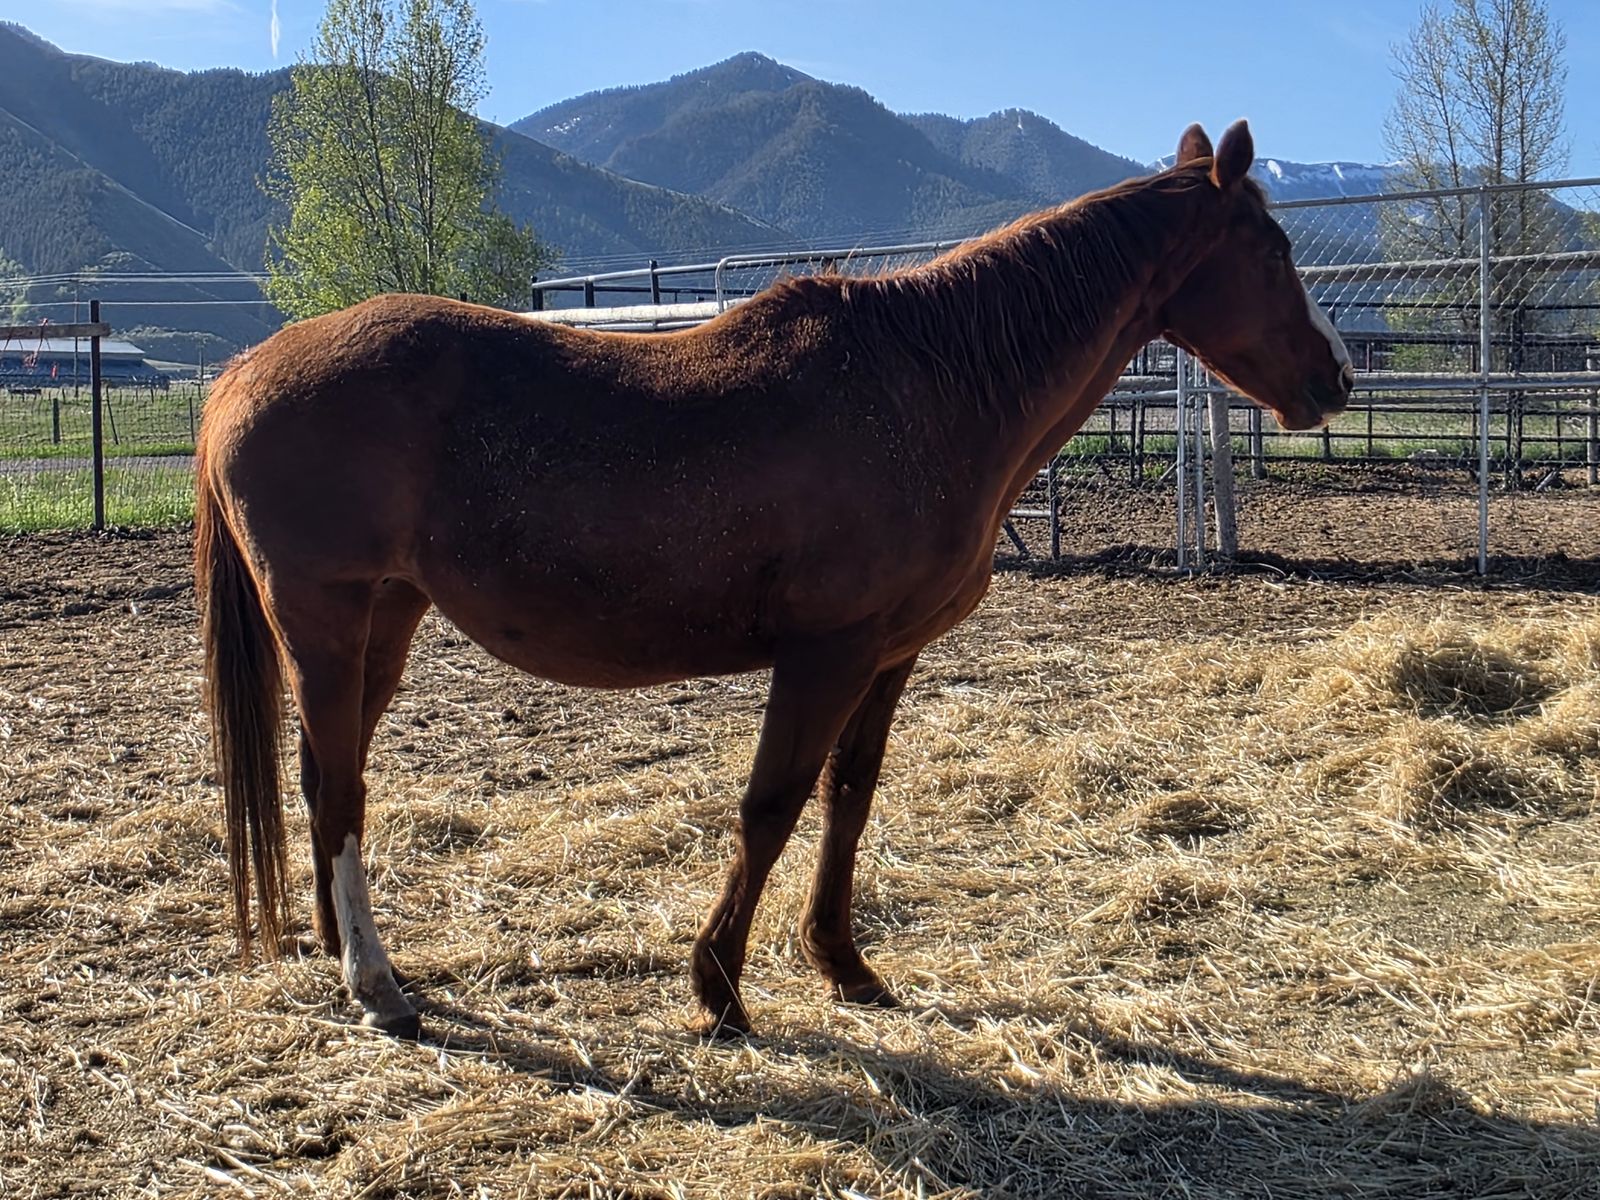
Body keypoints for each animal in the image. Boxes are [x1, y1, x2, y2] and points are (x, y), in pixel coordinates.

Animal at [195, 120, 1352, 1039]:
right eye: (1272, 248)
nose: (1335, 378)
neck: (930, 383)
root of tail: (243, 372)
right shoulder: (824, 655)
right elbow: (771, 805)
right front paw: (718, 987)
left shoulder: (888, 655)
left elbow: (848, 798)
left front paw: (842, 963)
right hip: (328, 622)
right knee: (341, 787)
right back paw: (376, 982)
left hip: (382, 624)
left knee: (324, 777)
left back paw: (338, 947)